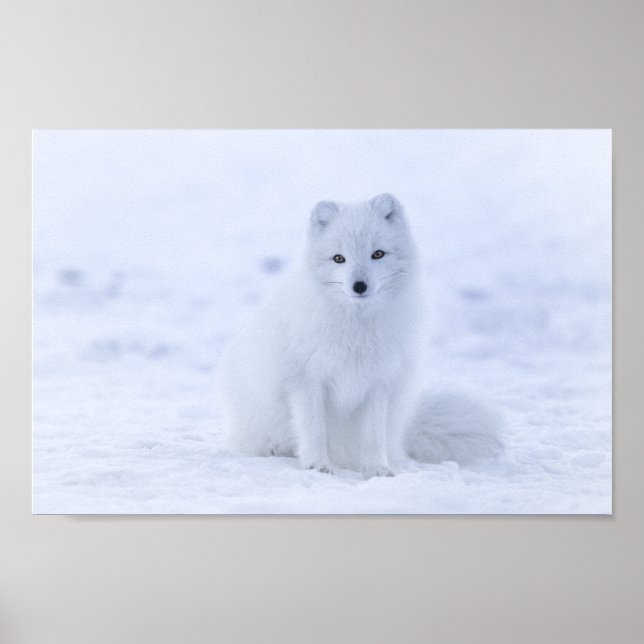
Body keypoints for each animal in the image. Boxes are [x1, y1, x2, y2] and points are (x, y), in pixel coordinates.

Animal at [219, 193, 503, 477]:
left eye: (377, 254)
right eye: (338, 258)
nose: (359, 286)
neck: (356, 328)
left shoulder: (378, 381)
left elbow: (373, 434)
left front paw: (377, 468)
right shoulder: (305, 379)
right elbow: (314, 429)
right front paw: (317, 464)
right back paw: (277, 449)